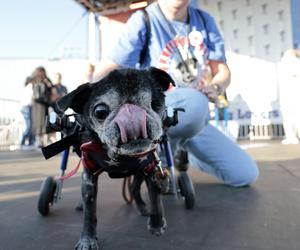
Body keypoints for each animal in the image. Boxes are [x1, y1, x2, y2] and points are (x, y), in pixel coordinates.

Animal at [55, 67, 176, 250]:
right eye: (100, 112)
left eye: (155, 104)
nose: (131, 115)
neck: (118, 156)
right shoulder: (89, 177)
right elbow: (90, 212)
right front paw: (87, 239)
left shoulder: (151, 170)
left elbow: (156, 199)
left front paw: (157, 224)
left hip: (139, 172)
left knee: (134, 188)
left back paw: (143, 208)